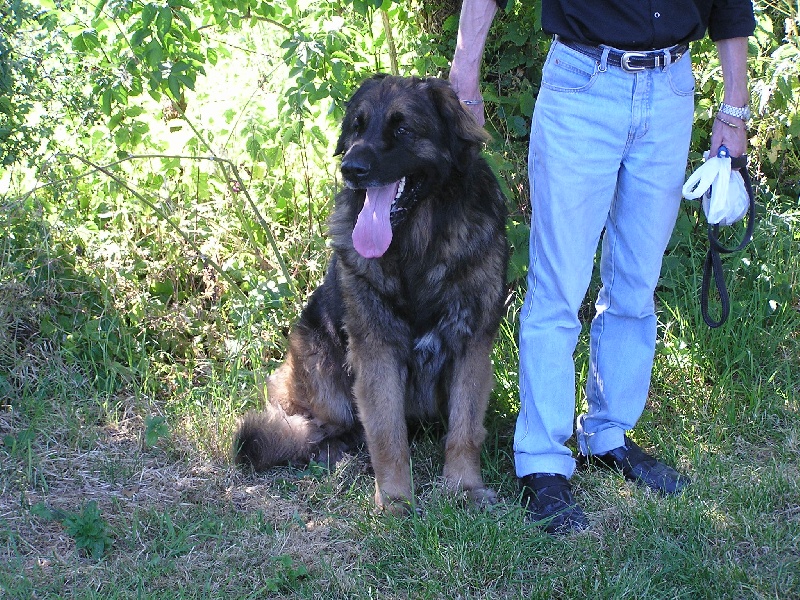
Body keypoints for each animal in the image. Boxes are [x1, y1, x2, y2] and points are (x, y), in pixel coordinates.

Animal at [233, 75, 506, 512]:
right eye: (357, 127)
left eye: (402, 129)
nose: (351, 169)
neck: (417, 246)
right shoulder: (377, 349)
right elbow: (386, 432)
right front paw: (394, 498)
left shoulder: (471, 344)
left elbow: (464, 429)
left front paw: (464, 487)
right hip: (316, 354)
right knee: (319, 430)